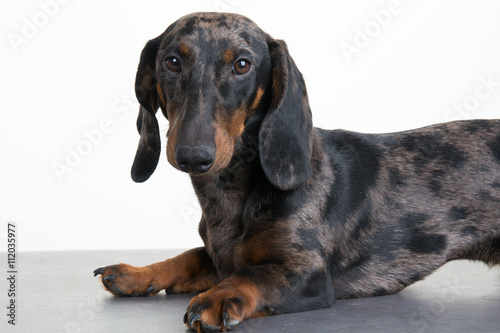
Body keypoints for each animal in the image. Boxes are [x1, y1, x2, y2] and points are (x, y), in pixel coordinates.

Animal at [94, 11, 500, 330]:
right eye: (172, 62)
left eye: (242, 64)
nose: (193, 155)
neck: (231, 193)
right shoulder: (219, 258)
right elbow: (191, 255)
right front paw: (136, 273)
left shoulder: (309, 274)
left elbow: (251, 273)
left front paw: (218, 296)